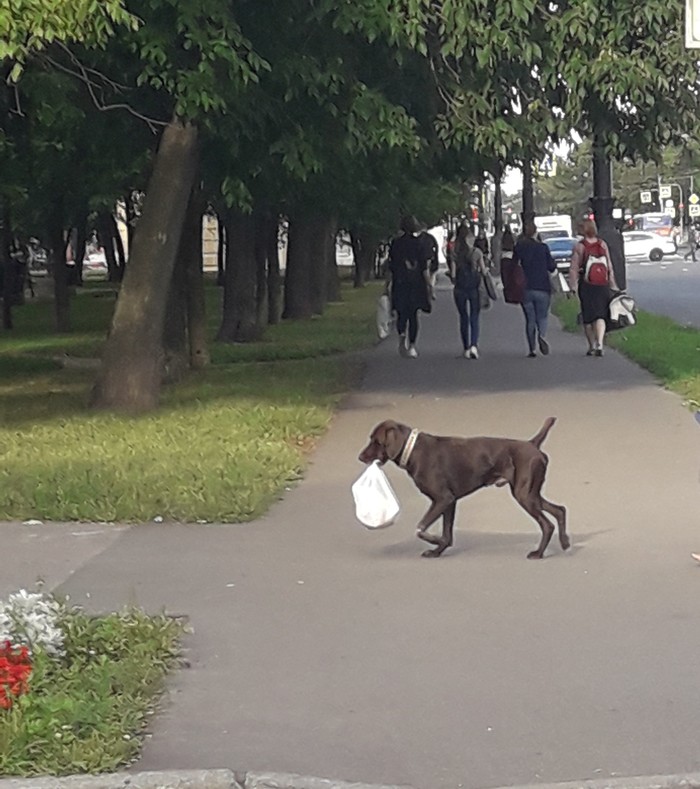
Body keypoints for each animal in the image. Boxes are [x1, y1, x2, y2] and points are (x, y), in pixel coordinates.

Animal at [358, 418, 568, 560]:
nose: (360, 457)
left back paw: (538, 553)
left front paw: (434, 541)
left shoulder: (443, 499)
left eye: (376, 441)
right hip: (530, 493)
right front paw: (437, 550)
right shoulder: (449, 502)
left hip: (524, 494)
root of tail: (532, 444)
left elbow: (420, 529)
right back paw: (565, 542)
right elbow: (447, 534)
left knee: (547, 524)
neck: (413, 451)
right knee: (560, 510)